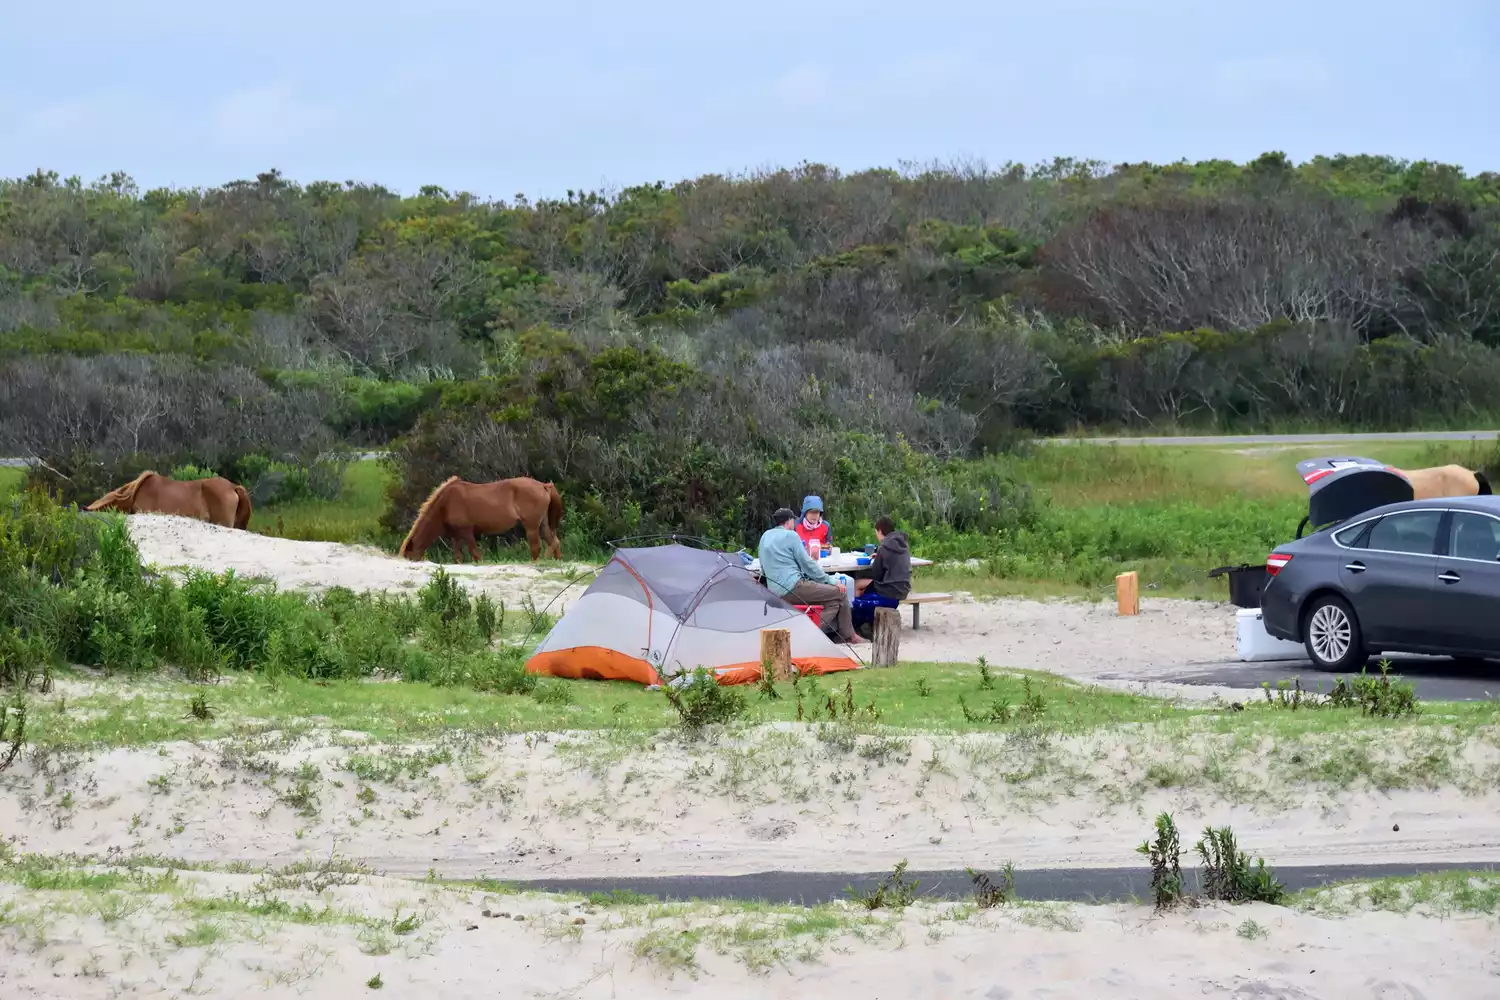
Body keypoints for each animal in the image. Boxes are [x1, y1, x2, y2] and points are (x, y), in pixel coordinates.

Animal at [397, 476, 564, 563]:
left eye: (409, 558)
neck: (446, 504)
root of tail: (543, 485)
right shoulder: (455, 536)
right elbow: (458, 557)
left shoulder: (467, 533)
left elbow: (476, 555)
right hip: (542, 525)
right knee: (554, 542)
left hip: (531, 526)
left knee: (536, 547)